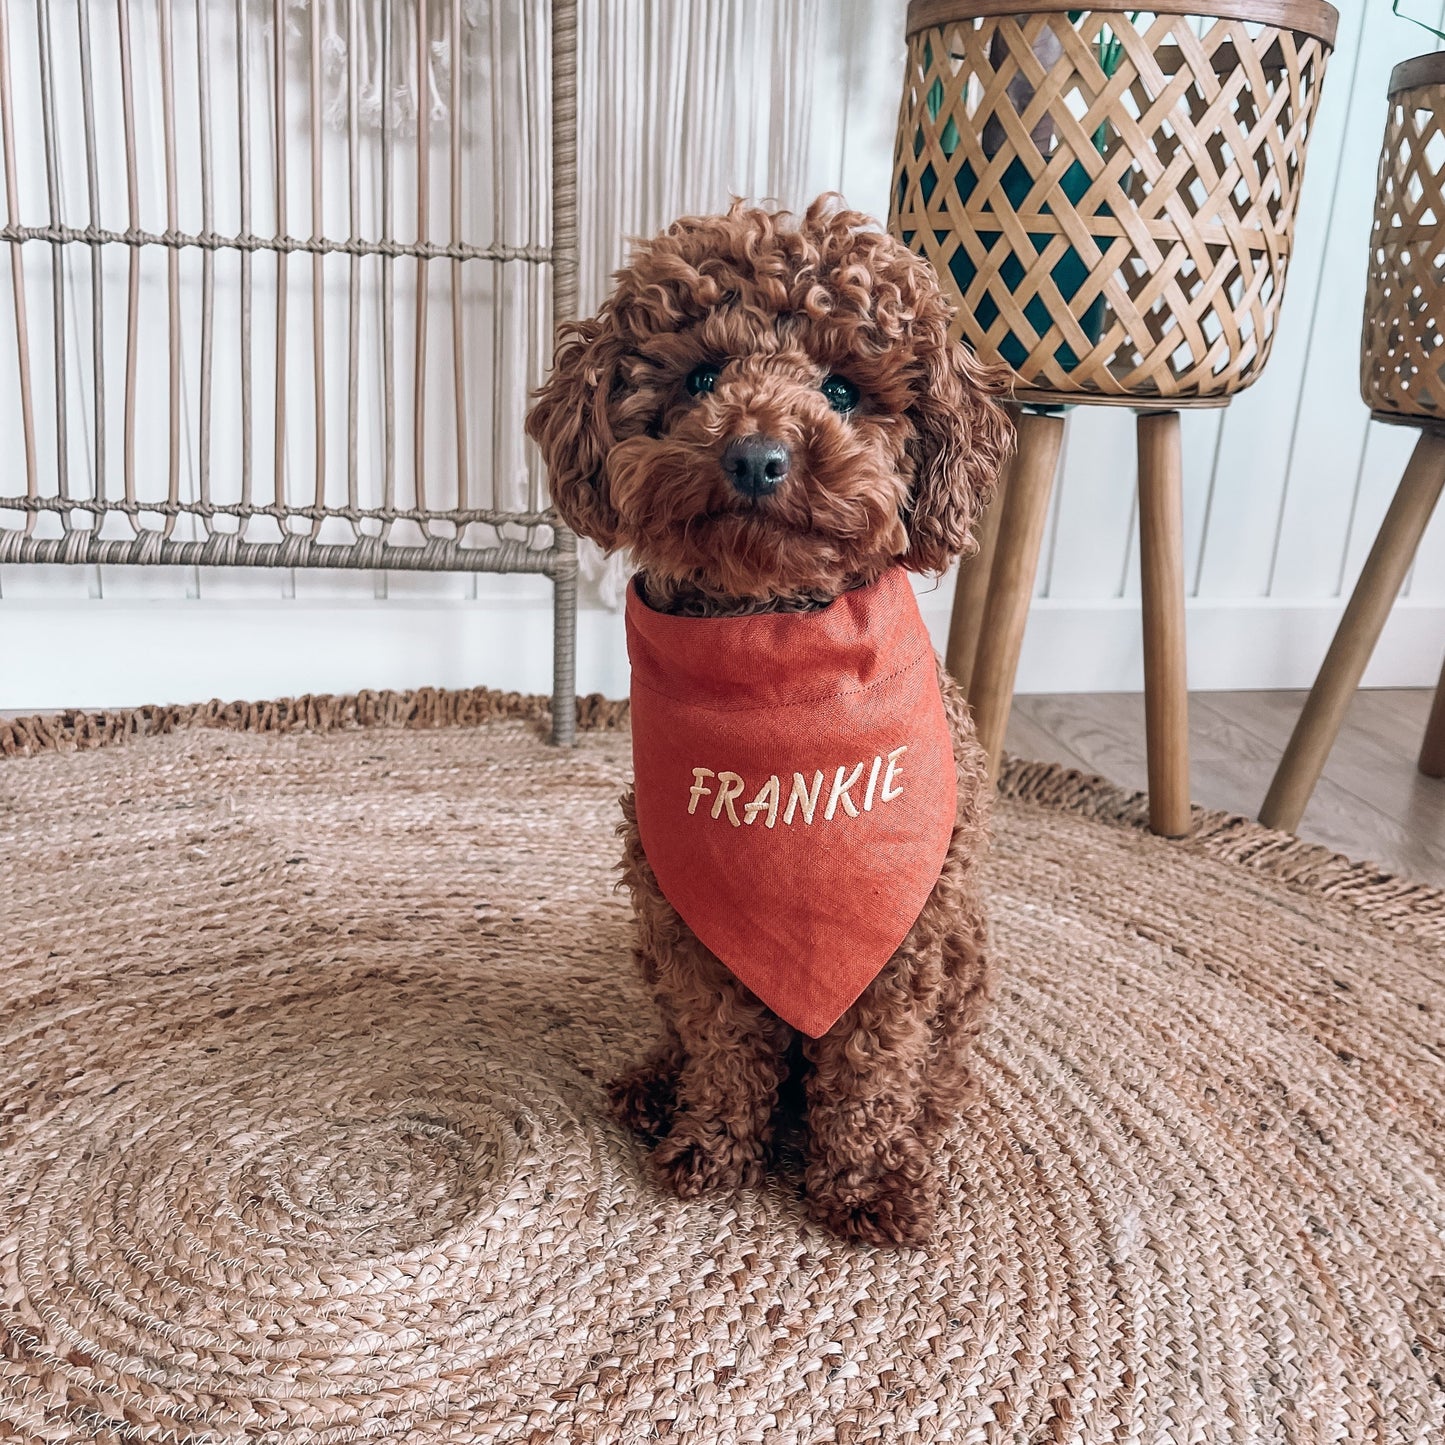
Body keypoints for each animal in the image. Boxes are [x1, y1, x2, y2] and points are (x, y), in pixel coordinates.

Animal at [525, 197, 1011, 1248]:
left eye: (842, 386)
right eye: (702, 375)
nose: (755, 454)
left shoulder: (898, 948)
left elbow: (868, 1070)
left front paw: (865, 1182)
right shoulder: (692, 931)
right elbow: (723, 1047)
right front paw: (712, 1145)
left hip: (960, 956)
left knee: (935, 1072)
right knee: (681, 1037)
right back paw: (654, 1086)